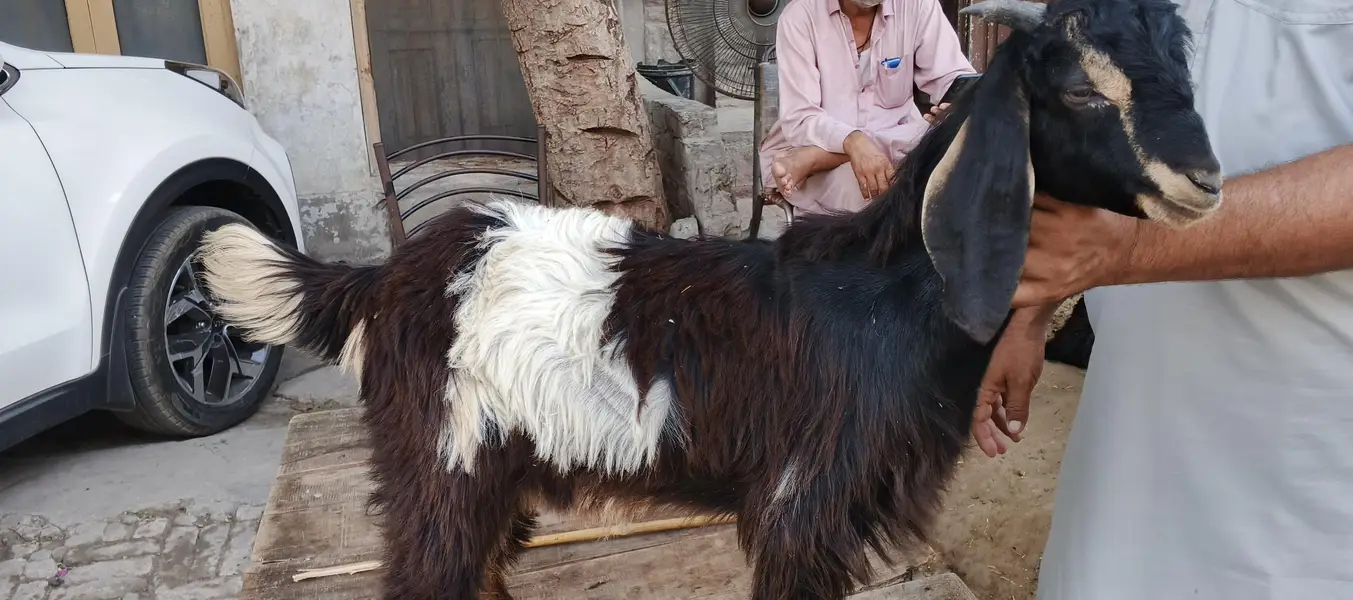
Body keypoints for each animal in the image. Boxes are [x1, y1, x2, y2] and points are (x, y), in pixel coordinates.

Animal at [197, 0, 1222, 597]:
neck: (887, 297)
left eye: (1182, 69)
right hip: (440, 457)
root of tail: (386, 277)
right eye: (1078, 91)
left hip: (489, 467)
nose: (1206, 182)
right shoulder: (801, 501)